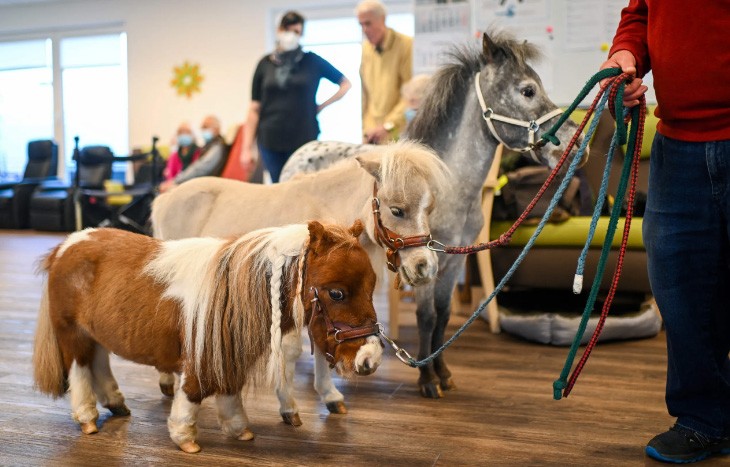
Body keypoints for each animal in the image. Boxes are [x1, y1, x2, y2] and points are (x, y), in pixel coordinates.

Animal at [32, 222, 381, 453]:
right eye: (337, 292)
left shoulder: (228, 352)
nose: (372, 358)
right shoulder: (199, 357)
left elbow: (229, 387)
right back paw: (87, 418)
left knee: (99, 363)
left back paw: (116, 404)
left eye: (372, 286)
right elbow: (195, 390)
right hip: (71, 332)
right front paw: (185, 437)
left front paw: (239, 429)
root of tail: (66, 246)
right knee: (79, 370)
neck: (231, 288)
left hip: (96, 334)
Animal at [150, 140, 451, 424]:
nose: (425, 266)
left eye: (429, 209)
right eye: (397, 210)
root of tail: (166, 197)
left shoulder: (320, 301)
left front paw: (330, 396)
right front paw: (288, 407)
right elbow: (291, 351)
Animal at [280, 31, 587, 398]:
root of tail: (299, 154)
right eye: (527, 90)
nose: (577, 142)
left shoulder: (453, 262)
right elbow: (426, 317)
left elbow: (442, 316)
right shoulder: (425, 262)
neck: (447, 186)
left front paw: (443, 373)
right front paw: (426, 380)